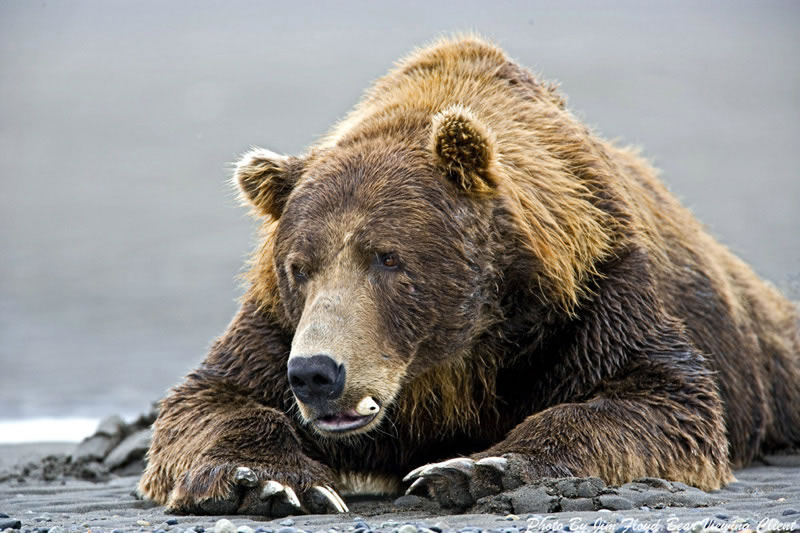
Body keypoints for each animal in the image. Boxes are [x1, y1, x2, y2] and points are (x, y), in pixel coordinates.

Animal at [138, 36, 800, 515]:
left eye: (388, 257)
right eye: (300, 266)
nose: (316, 373)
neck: (454, 364)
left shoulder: (594, 294)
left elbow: (659, 397)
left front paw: (475, 469)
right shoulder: (275, 324)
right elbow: (214, 399)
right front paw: (270, 482)